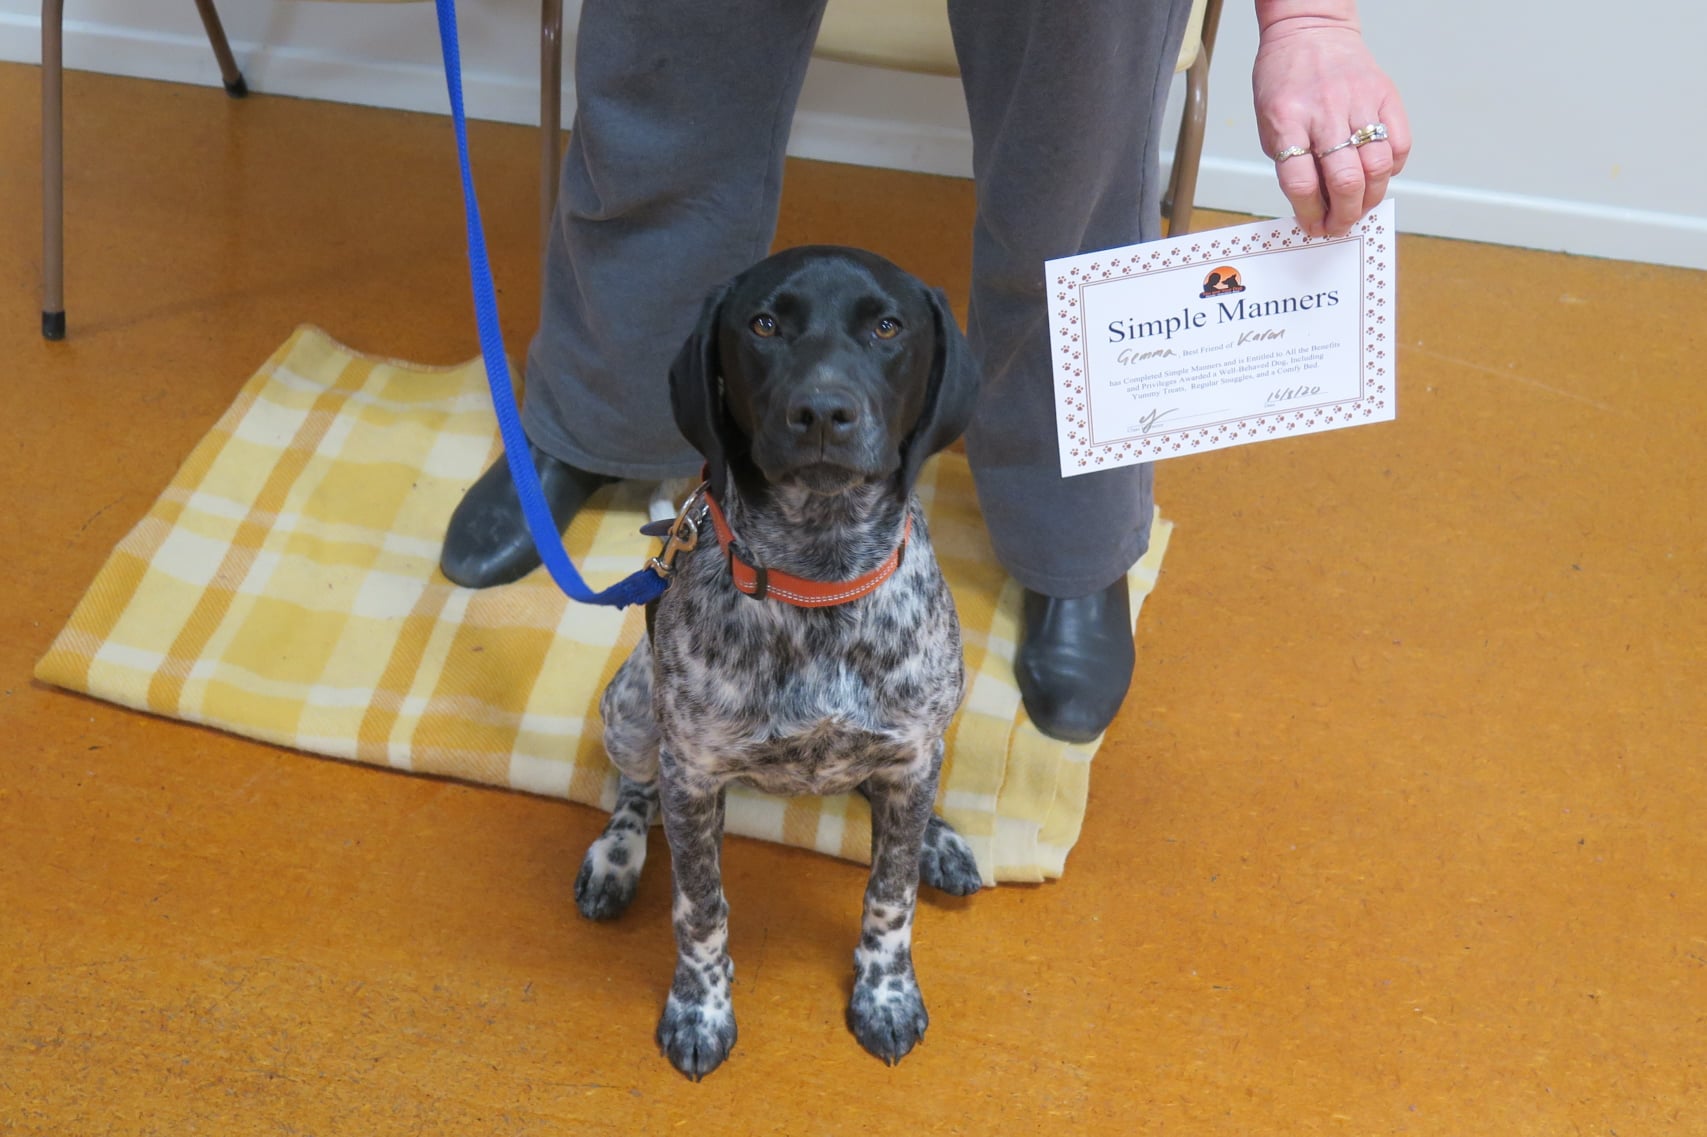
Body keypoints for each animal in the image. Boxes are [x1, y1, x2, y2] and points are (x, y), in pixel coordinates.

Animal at [576, 244, 990, 1078]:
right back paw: (615, 855)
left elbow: (889, 895)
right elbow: (700, 909)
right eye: (763, 325)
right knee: (635, 788)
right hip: (631, 712)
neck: (819, 574)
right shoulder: (693, 773)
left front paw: (885, 993)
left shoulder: (908, 750)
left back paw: (938, 838)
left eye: (887, 327)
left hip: (914, 752)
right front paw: (700, 1009)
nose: (823, 412)